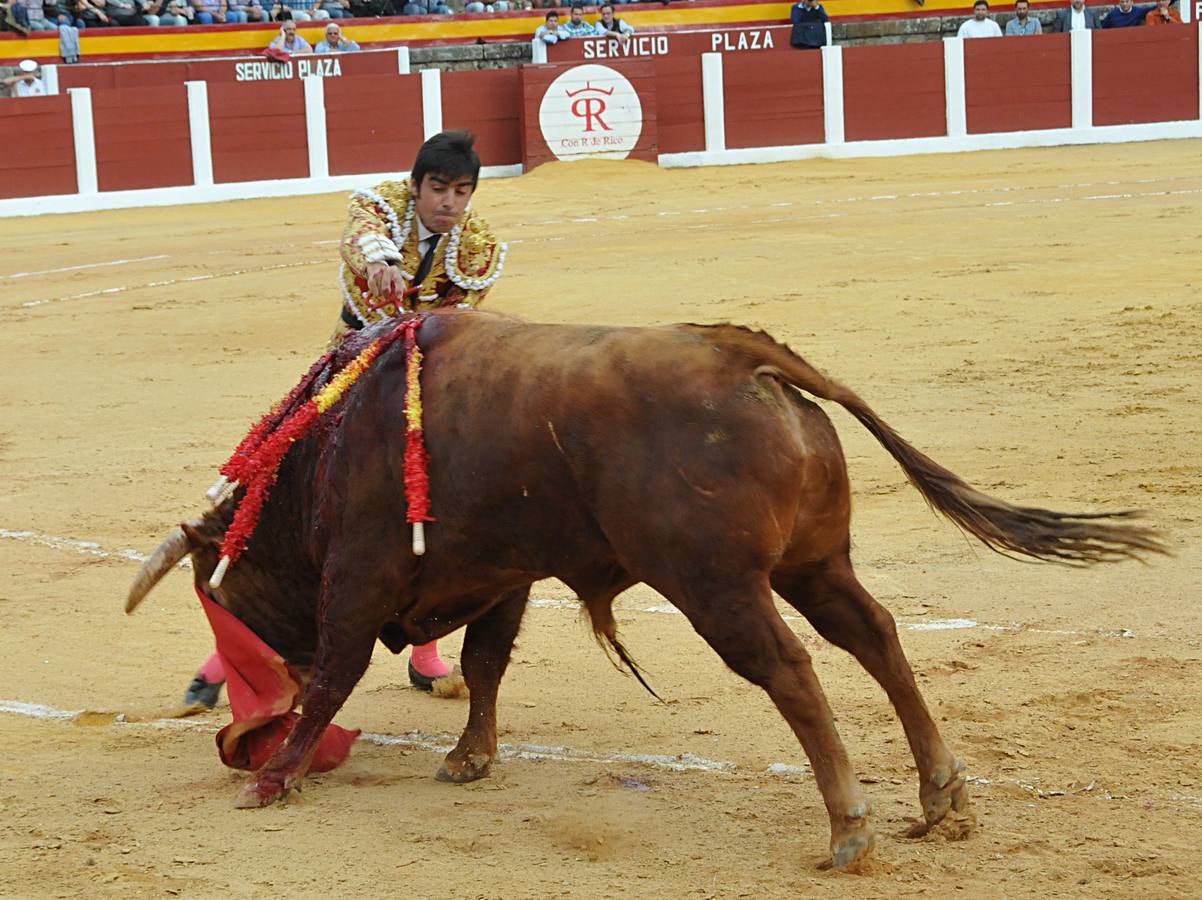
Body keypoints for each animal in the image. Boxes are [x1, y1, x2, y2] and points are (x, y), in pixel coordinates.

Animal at [124, 307, 1163, 865]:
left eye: (222, 597)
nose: (237, 716)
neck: (322, 449)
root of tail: (745, 354)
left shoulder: (363, 572)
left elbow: (341, 670)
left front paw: (274, 778)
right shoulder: (504, 572)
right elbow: (486, 662)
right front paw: (469, 758)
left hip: (716, 584)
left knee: (791, 672)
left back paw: (848, 829)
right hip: (814, 563)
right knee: (875, 636)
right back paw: (941, 794)